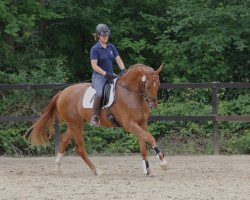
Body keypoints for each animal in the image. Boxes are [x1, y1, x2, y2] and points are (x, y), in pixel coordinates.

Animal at [26, 63, 168, 175]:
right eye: (148, 86)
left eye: (158, 84)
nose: (153, 105)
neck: (131, 93)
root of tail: (63, 92)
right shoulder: (130, 124)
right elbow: (150, 138)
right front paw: (163, 162)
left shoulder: (141, 123)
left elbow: (143, 145)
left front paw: (148, 170)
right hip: (76, 124)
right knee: (80, 148)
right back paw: (96, 171)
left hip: (76, 123)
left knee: (65, 141)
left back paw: (58, 166)